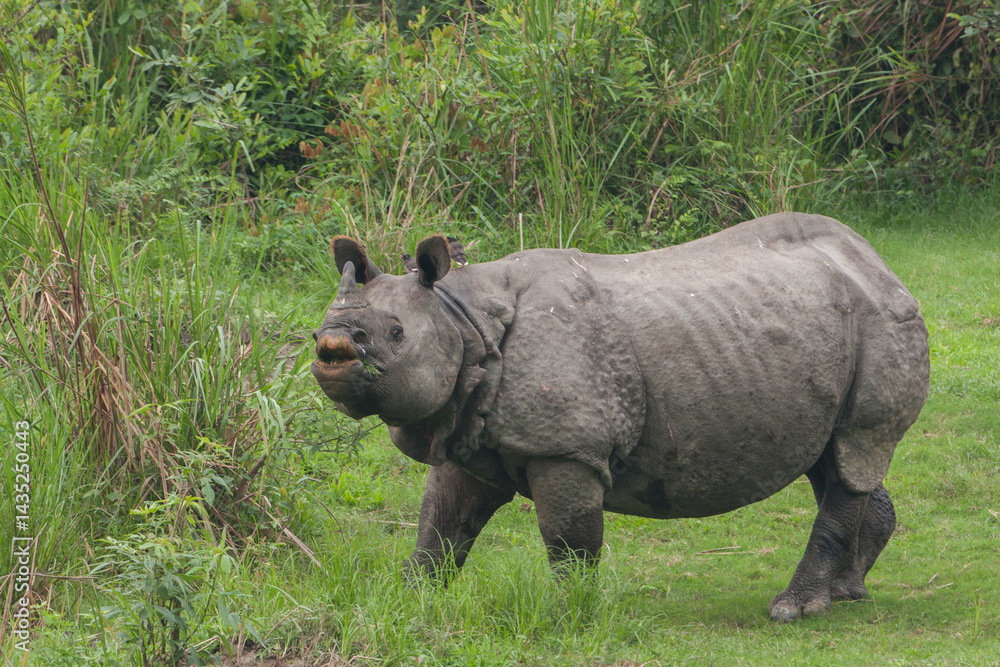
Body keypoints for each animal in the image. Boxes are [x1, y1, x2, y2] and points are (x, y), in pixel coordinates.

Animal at [311, 213, 929, 621]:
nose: (331, 345)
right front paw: (407, 599)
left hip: (882, 320)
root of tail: (877, 261)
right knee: (838, 457)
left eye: (395, 334)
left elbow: (568, 539)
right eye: (322, 325)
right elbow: (439, 526)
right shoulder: (462, 428)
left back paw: (793, 610)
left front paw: (569, 612)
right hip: (825, 327)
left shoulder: (567, 449)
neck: (461, 319)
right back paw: (848, 592)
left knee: (854, 449)